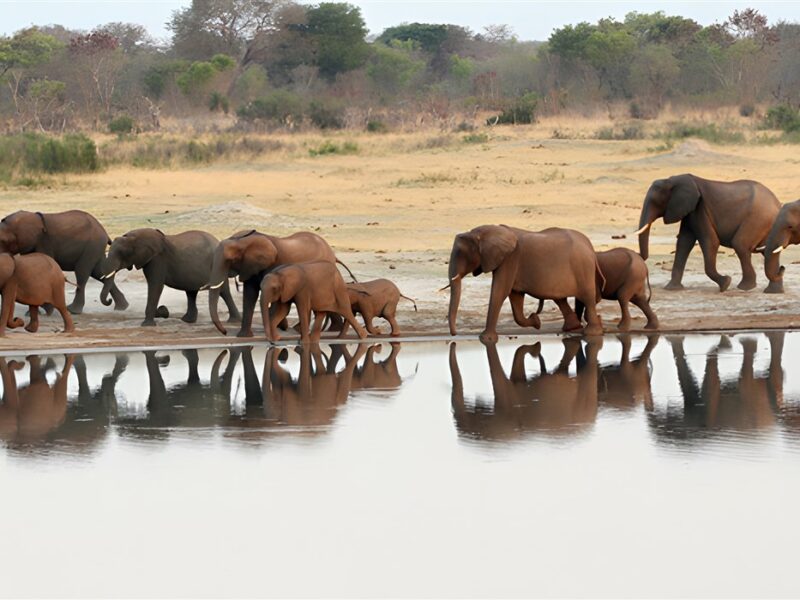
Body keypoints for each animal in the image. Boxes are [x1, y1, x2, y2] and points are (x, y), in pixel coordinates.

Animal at [100, 228, 241, 327]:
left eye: (122, 253)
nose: (109, 301)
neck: (135, 235)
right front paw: (161, 313)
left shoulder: (157, 260)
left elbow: (155, 286)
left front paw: (147, 324)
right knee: (191, 292)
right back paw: (187, 320)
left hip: (217, 266)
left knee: (224, 292)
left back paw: (234, 321)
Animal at [206, 229, 357, 338]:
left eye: (230, 260)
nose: (225, 332)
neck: (244, 240)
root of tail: (333, 254)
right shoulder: (250, 266)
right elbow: (250, 295)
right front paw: (243, 337)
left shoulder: (274, 264)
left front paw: (278, 328)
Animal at [447, 224, 604, 343]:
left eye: (460, 253)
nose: (454, 334)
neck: (485, 232)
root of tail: (590, 247)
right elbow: (515, 297)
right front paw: (536, 321)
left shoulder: (510, 259)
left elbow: (500, 291)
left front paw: (486, 339)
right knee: (561, 299)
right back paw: (571, 328)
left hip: (583, 269)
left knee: (587, 298)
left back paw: (592, 333)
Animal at [448, 339, 601, 442]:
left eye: (472, 422)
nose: (453, 343)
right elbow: (517, 374)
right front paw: (535, 349)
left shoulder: (507, 406)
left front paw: (535, 350)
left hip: (585, 399)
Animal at [635, 174, 782, 292]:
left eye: (655, 202)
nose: (637, 254)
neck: (673, 179)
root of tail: (777, 204)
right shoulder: (690, 211)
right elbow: (684, 242)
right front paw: (671, 289)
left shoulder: (700, 209)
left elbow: (710, 241)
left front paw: (725, 284)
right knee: (769, 251)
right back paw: (774, 291)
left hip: (758, 218)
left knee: (740, 244)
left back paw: (745, 287)